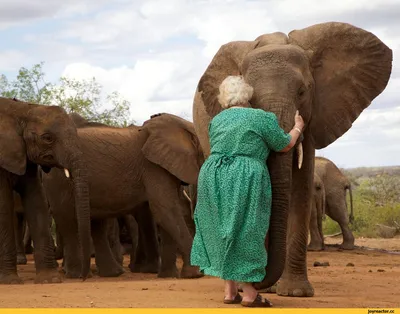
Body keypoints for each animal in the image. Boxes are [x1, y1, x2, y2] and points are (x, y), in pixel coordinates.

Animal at [0, 97, 90, 284]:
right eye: (47, 138)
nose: (83, 278)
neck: (22, 110)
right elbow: (3, 206)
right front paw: (10, 281)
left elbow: (36, 201)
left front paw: (50, 279)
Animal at [41, 111, 203, 278]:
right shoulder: (153, 168)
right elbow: (165, 210)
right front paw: (195, 274)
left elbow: (169, 212)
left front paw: (168, 276)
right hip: (58, 182)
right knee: (67, 222)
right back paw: (77, 274)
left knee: (96, 224)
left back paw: (111, 273)